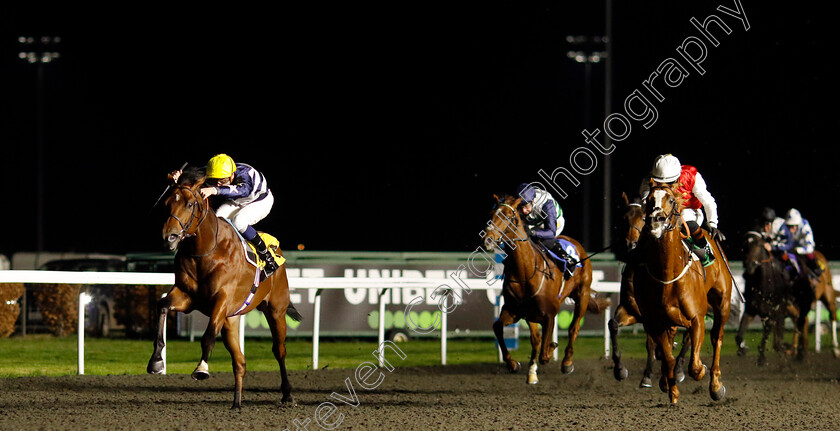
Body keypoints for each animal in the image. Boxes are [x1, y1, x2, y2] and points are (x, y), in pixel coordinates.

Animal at [147, 168, 302, 408]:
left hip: (276, 309)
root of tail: (277, 250)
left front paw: (201, 368)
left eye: (190, 204)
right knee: (240, 361)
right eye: (166, 203)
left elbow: (208, 336)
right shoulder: (186, 296)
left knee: (279, 350)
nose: (169, 237)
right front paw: (156, 362)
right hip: (232, 319)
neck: (206, 249)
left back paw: (287, 394)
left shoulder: (221, 299)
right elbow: (162, 306)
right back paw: (236, 403)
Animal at [482, 196, 608, 384]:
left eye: (508, 217)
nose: (488, 239)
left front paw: (551, 349)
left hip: (582, 294)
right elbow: (498, 327)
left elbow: (544, 353)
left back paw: (567, 362)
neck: (525, 272)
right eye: (491, 213)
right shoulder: (516, 310)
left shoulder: (549, 314)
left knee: (574, 328)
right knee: (536, 338)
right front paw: (513, 364)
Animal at [612, 192, 688, 388]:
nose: (630, 244)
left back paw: (679, 369)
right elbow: (613, 325)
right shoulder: (632, 310)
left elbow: (653, 342)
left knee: (688, 337)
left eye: (643, 218)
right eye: (624, 219)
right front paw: (620, 370)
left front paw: (650, 375)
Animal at [632, 182, 732, 404]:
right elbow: (667, 356)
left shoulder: (697, 318)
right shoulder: (656, 322)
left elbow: (695, 365)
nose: (656, 220)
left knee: (717, 337)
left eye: (671, 199)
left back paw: (716, 385)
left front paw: (702, 371)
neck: (669, 275)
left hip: (723, 303)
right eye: (649, 200)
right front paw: (672, 390)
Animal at [740, 231, 792, 366]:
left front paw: (761, 358)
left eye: (759, 244)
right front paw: (743, 348)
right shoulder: (751, 310)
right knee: (777, 342)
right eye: (745, 244)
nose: (750, 265)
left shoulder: (773, 314)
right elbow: (739, 333)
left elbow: (767, 338)